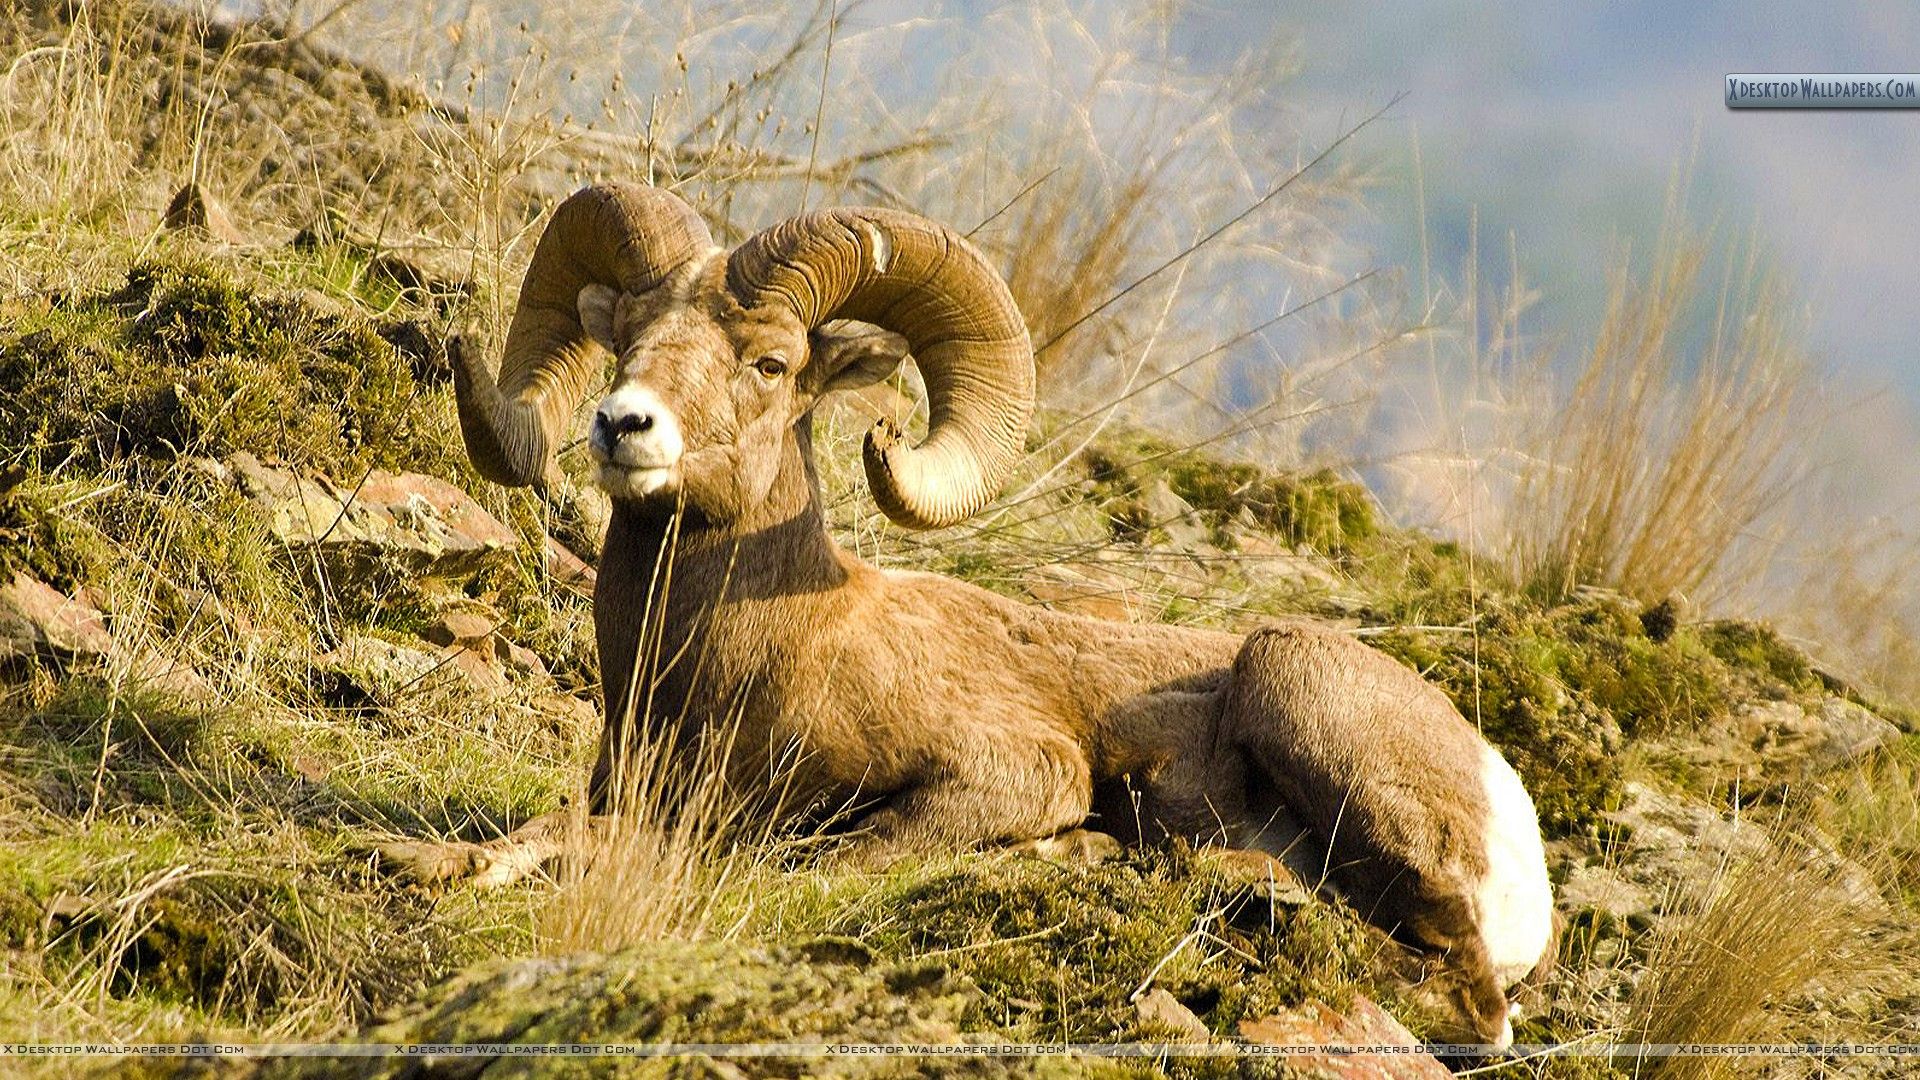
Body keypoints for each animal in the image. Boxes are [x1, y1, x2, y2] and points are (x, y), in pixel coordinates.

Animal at [391, 182, 1555, 1048]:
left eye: (770, 363)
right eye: (626, 335)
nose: (621, 424)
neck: (752, 664)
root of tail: (1508, 806)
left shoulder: (1010, 774)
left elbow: (803, 862)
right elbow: (540, 836)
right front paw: (430, 865)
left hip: (1293, 686)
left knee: (1469, 996)